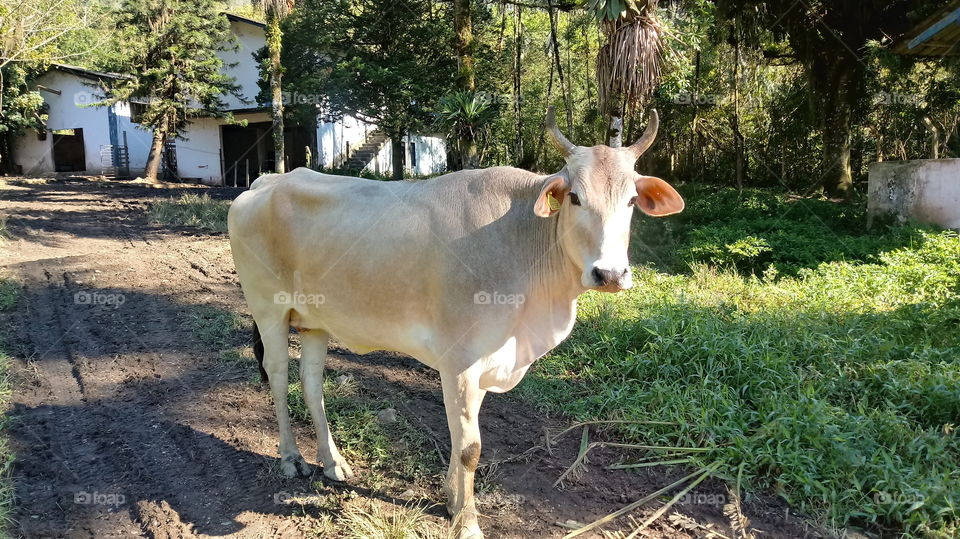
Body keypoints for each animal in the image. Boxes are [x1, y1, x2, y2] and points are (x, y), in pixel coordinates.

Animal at [227, 107, 683, 538]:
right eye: (574, 197)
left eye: (630, 201)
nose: (610, 273)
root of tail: (266, 181)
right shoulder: (461, 360)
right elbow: (469, 447)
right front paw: (467, 523)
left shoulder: (483, 362)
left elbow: (461, 436)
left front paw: (451, 499)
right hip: (268, 310)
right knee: (278, 376)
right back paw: (291, 458)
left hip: (315, 322)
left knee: (311, 383)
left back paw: (332, 462)